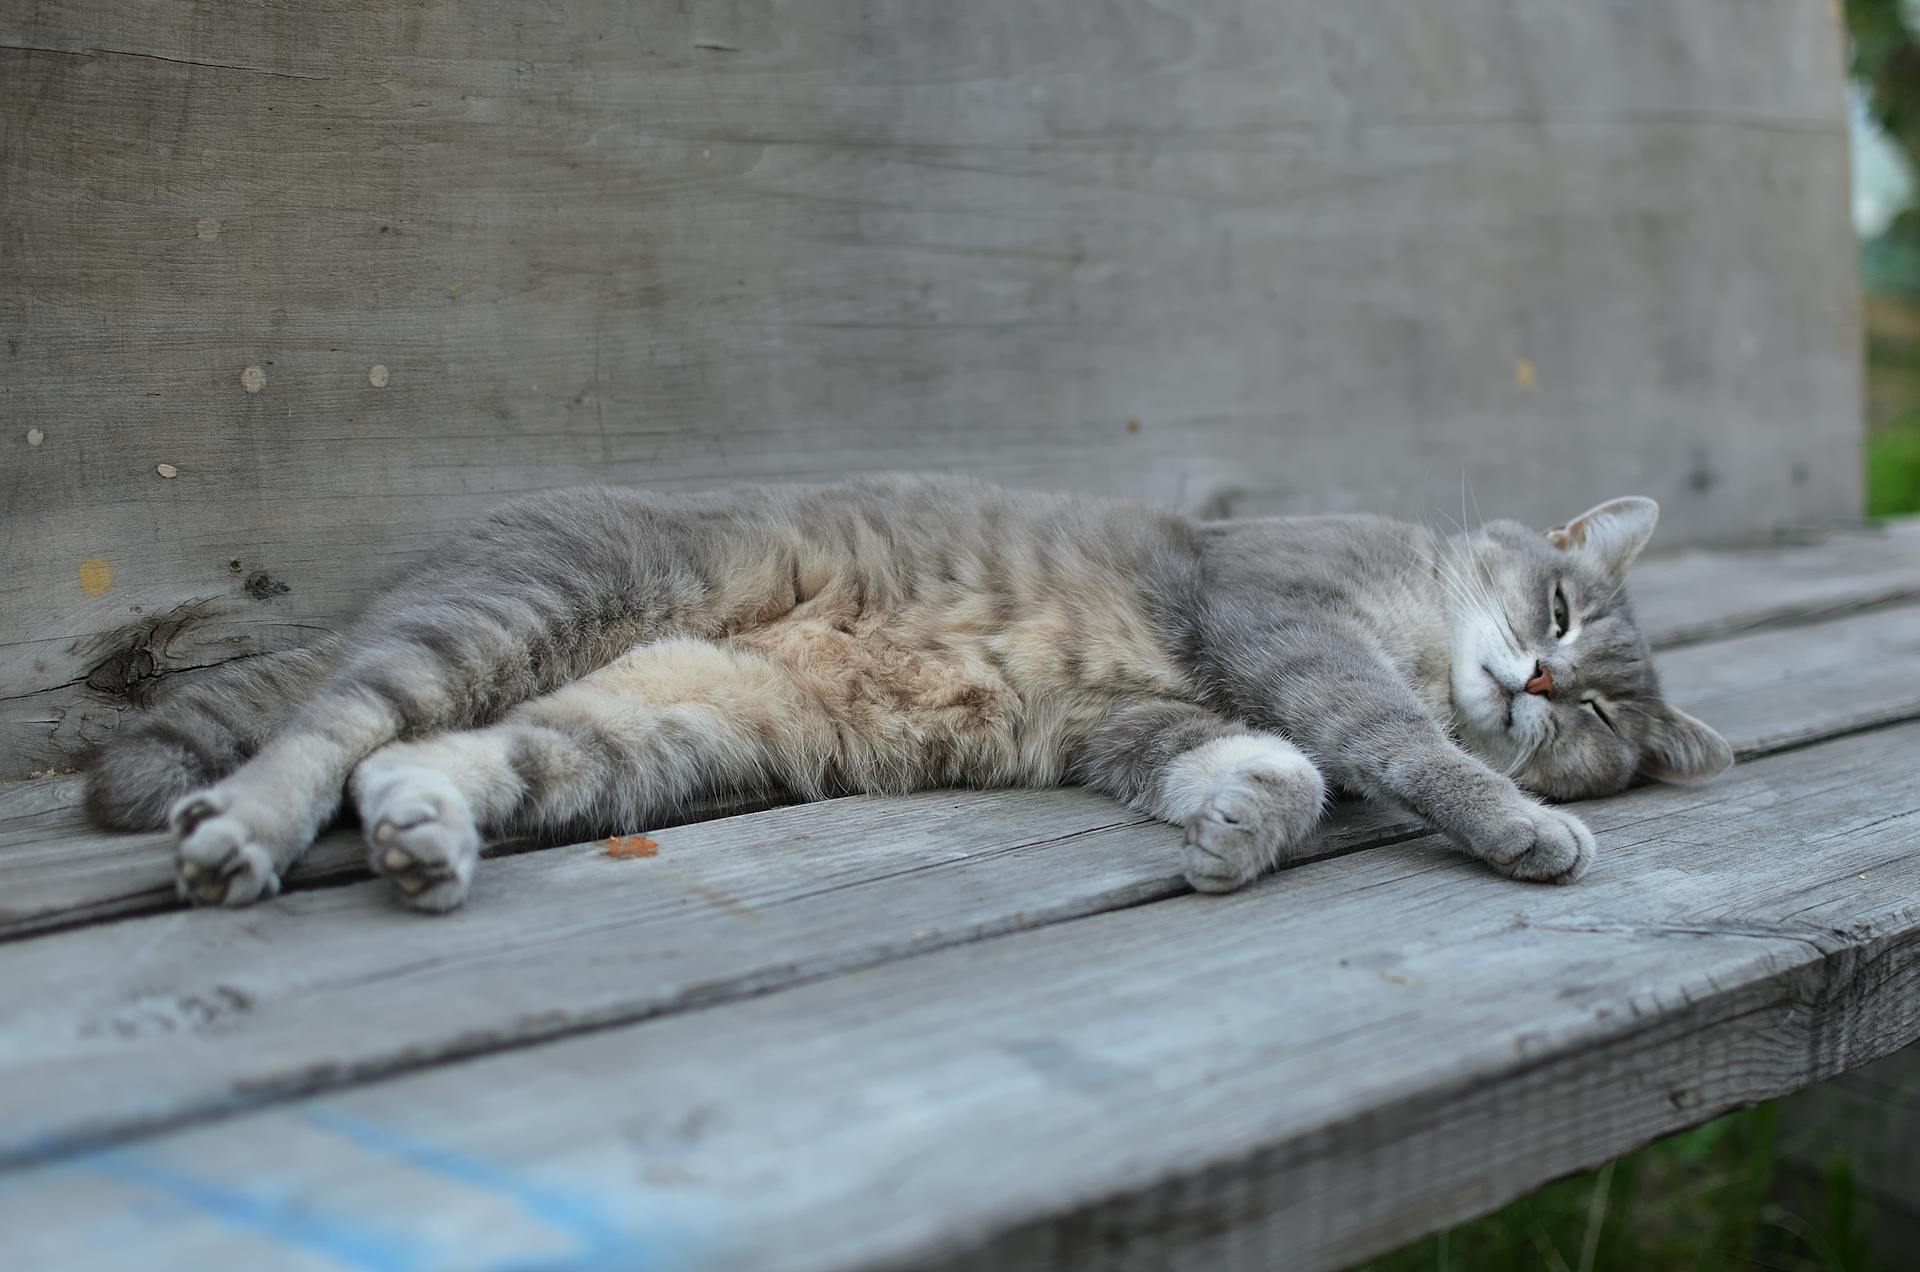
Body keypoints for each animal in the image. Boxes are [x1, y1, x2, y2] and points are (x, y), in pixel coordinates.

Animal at [82, 472, 1735, 910]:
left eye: (1600, 718)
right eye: (1563, 610)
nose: (1538, 679)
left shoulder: (1130, 712)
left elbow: (1278, 766)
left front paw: (1236, 827)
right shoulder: (1285, 618)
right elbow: (1387, 745)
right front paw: (1517, 819)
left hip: (660, 730)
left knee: (432, 760)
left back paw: (425, 829)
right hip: (512, 612)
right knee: (333, 726)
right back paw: (243, 831)